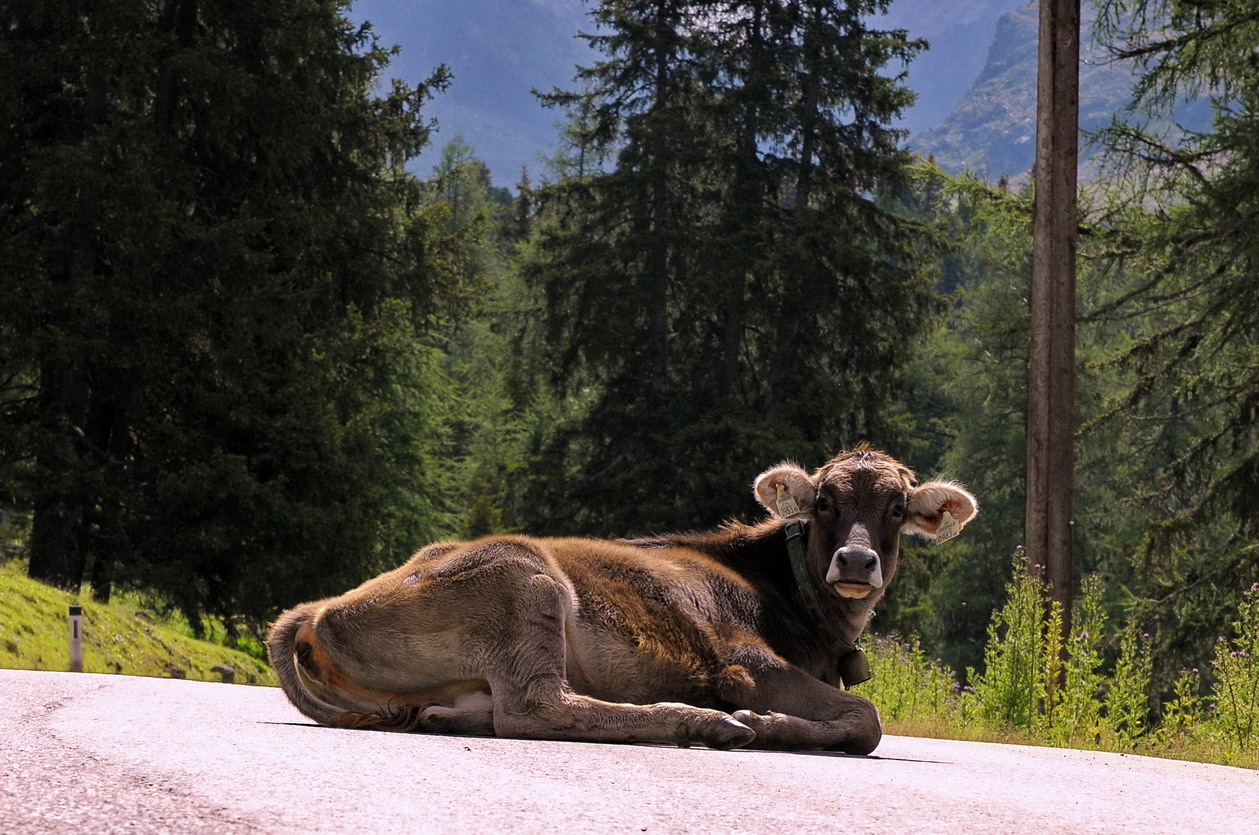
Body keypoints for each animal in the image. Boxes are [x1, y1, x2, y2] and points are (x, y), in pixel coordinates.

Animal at [263, 450, 971, 755]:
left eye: (897, 508)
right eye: (824, 501)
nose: (855, 561)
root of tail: (317, 611)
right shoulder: (745, 663)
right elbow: (867, 720)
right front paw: (764, 724)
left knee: (481, 711)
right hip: (526, 582)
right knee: (535, 708)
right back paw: (703, 723)